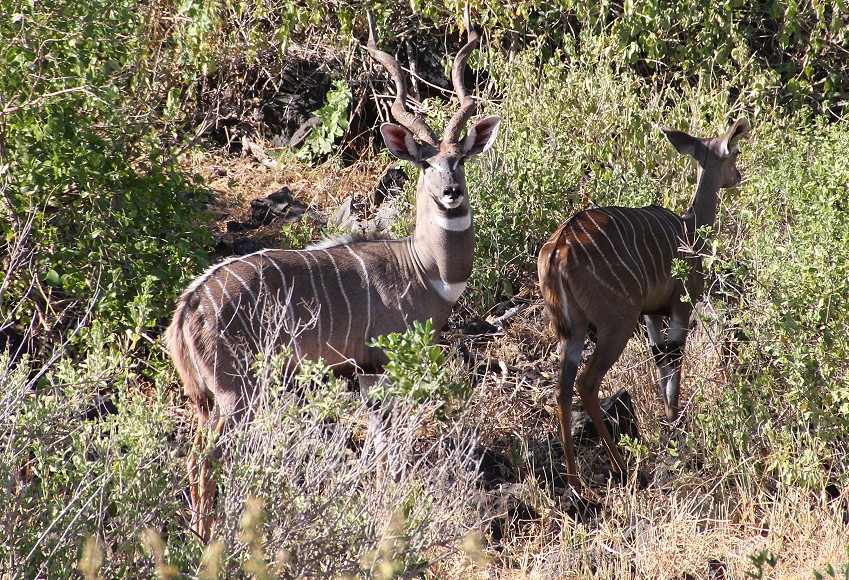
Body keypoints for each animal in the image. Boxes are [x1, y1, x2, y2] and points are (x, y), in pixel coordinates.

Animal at [163, 7, 500, 544]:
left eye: (460, 160)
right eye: (424, 164)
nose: (450, 192)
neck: (425, 268)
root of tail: (186, 309)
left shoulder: (361, 371)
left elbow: (380, 443)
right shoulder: (382, 362)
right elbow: (387, 445)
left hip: (204, 399)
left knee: (196, 455)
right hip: (237, 393)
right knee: (206, 459)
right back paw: (209, 538)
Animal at [536, 118, 748, 490]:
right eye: (734, 152)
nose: (737, 176)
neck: (690, 227)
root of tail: (558, 249)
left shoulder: (651, 314)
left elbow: (660, 358)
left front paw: (668, 424)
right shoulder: (680, 305)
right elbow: (675, 360)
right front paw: (674, 426)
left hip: (573, 330)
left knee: (562, 388)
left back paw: (575, 481)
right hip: (617, 322)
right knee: (586, 382)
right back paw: (622, 468)